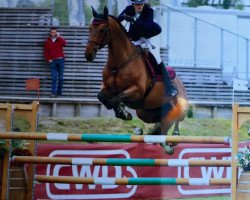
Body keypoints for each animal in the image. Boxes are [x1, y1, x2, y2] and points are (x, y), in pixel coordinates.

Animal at [84, 5, 188, 153]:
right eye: (90, 28)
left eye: (103, 29)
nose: (88, 54)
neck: (119, 63)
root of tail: (179, 80)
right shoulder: (107, 88)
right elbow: (103, 97)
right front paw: (123, 113)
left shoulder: (136, 91)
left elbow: (115, 99)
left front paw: (123, 112)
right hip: (145, 112)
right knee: (162, 123)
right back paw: (160, 138)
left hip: (179, 105)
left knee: (176, 119)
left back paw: (174, 137)